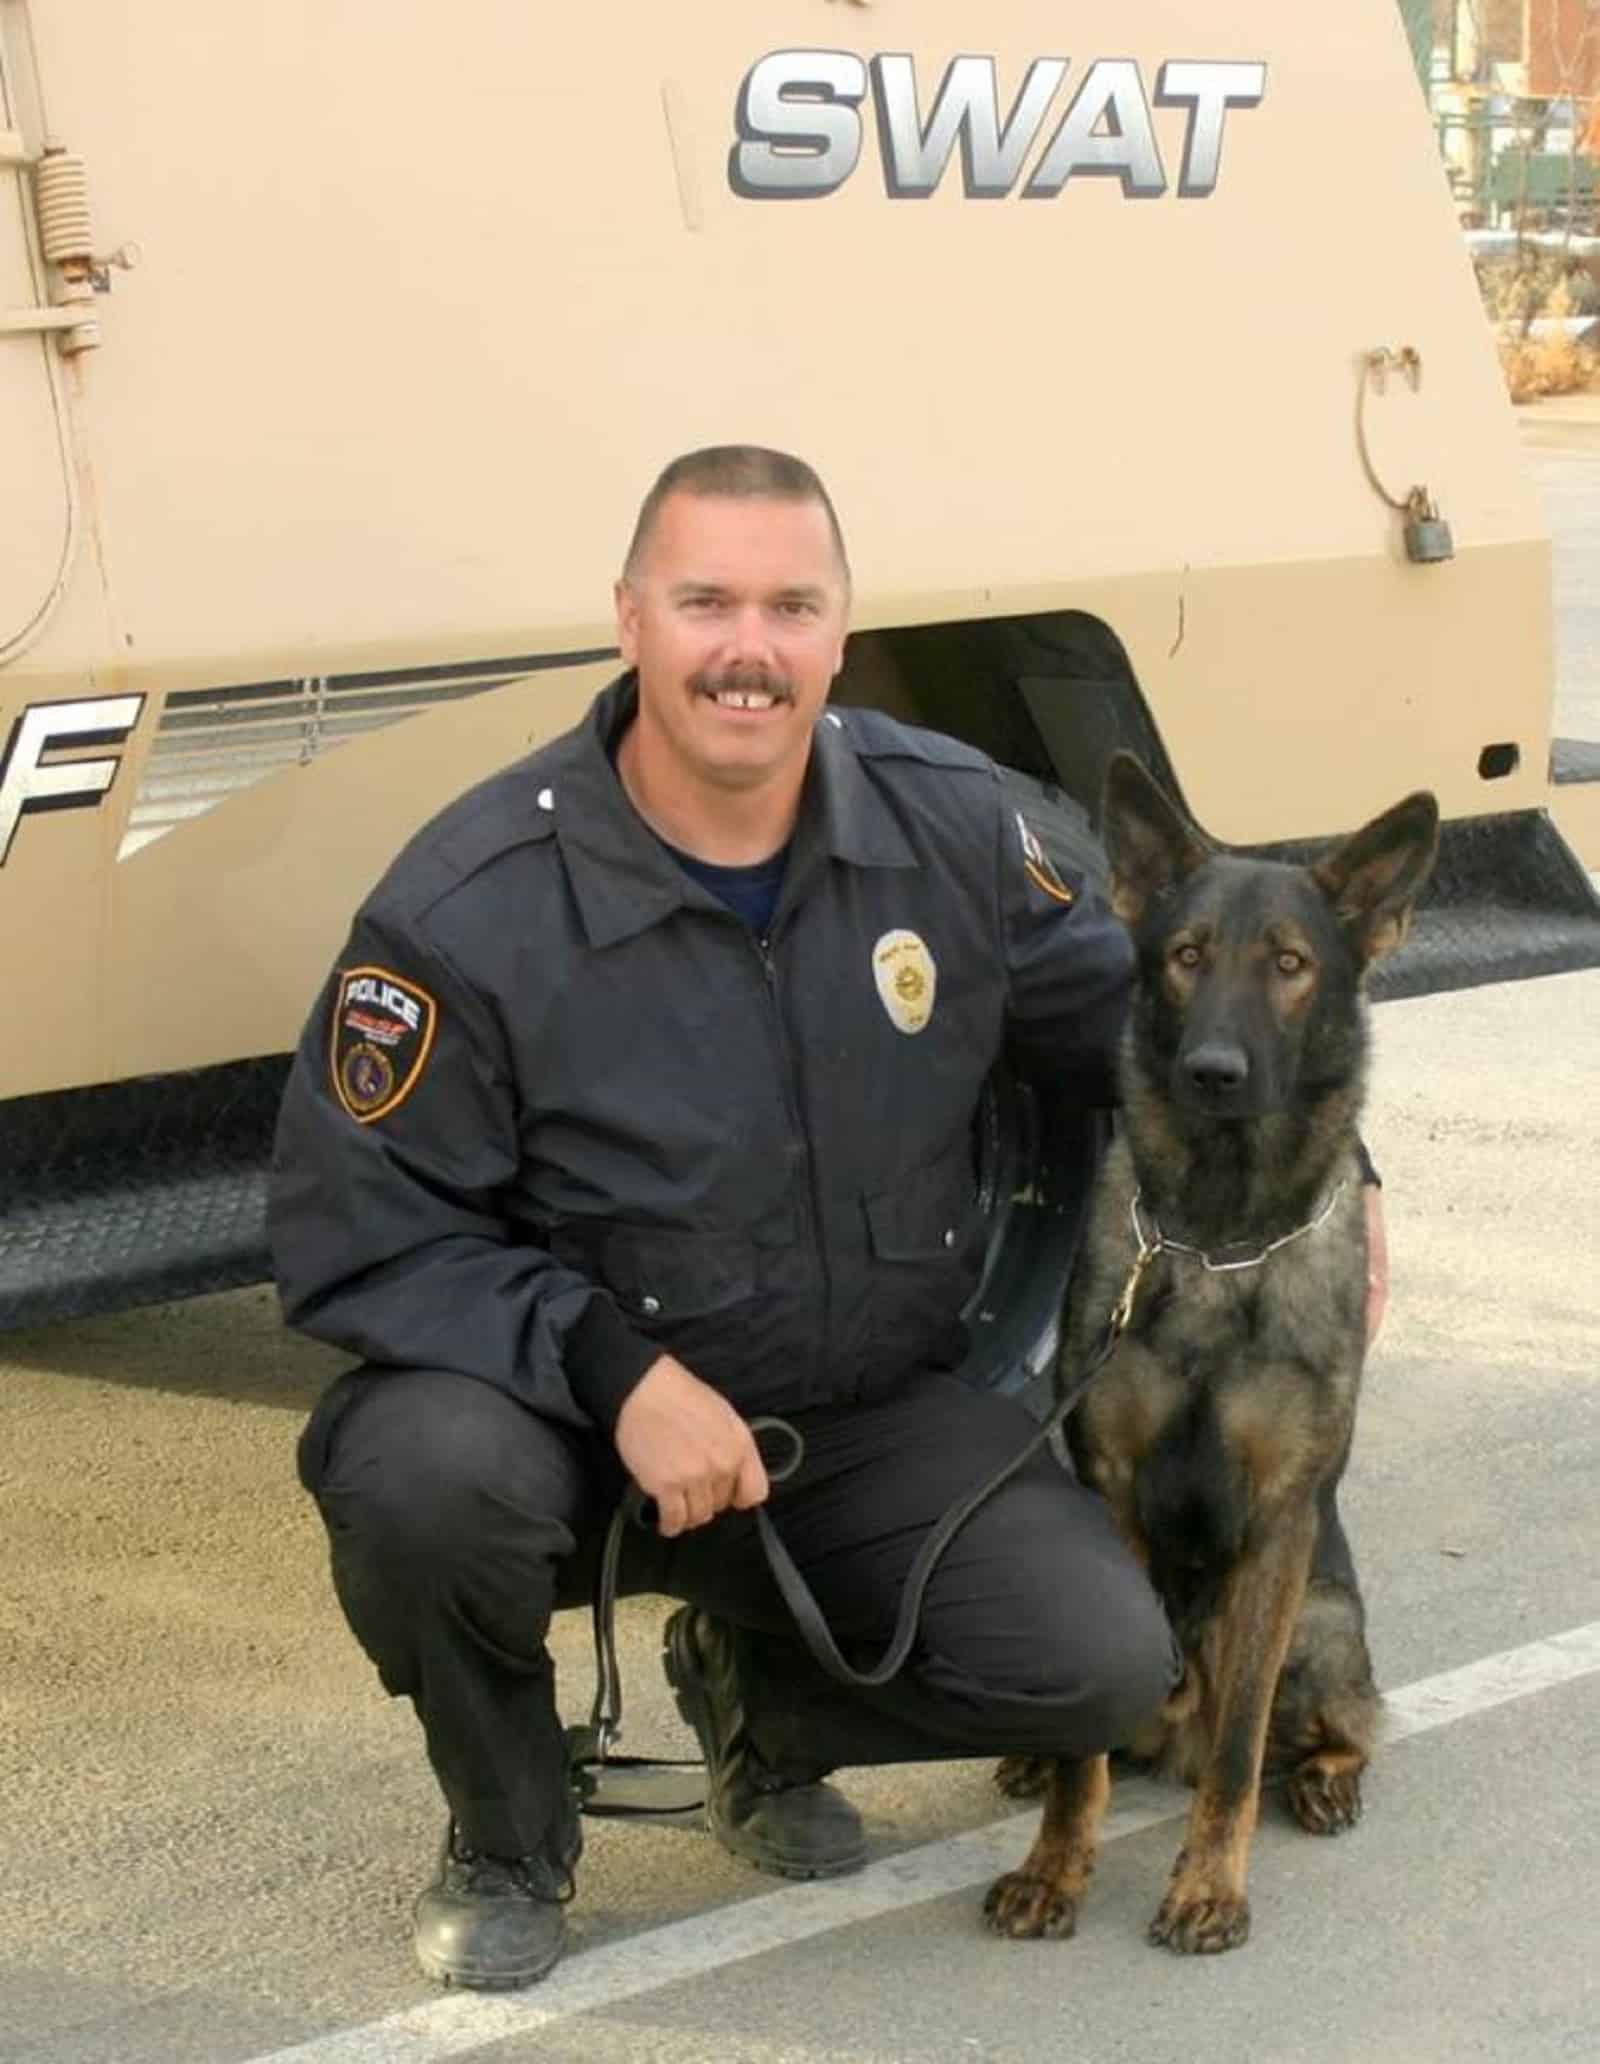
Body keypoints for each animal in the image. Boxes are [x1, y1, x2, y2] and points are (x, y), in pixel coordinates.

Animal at [986, 755, 1436, 1948]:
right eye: (1186, 957)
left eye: (1288, 965)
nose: (1214, 1072)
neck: (1219, 1238)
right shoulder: (1111, 1489)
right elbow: (1085, 1759)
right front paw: (1056, 1864)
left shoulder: (1278, 1524)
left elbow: (1237, 1750)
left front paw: (1207, 1885)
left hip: (1321, 1616)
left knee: (1336, 1720)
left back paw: (1324, 1777)